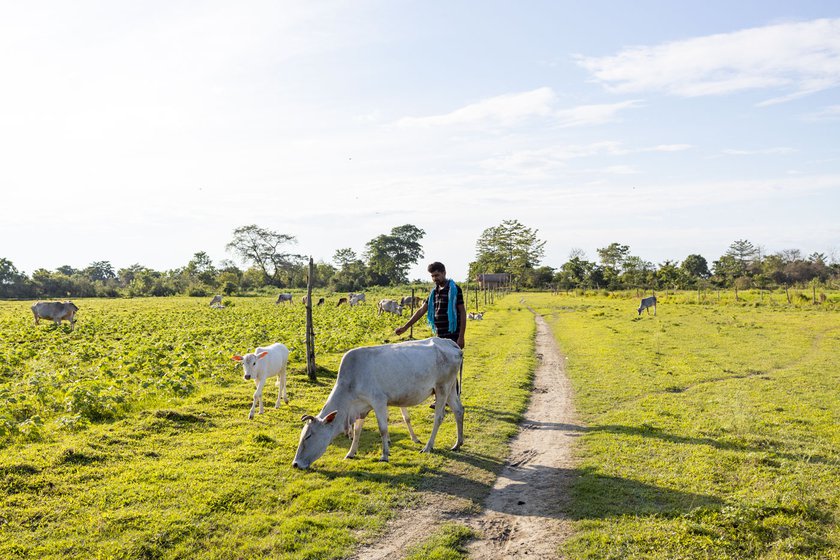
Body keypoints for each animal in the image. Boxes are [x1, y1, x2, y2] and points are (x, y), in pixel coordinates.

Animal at [294, 340, 466, 470]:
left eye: (309, 436)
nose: (295, 464)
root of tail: (449, 343)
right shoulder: (362, 407)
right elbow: (357, 430)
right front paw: (351, 453)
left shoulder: (379, 402)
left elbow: (383, 429)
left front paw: (384, 455)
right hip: (450, 389)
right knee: (459, 410)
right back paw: (457, 443)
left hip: (442, 387)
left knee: (439, 417)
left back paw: (428, 447)